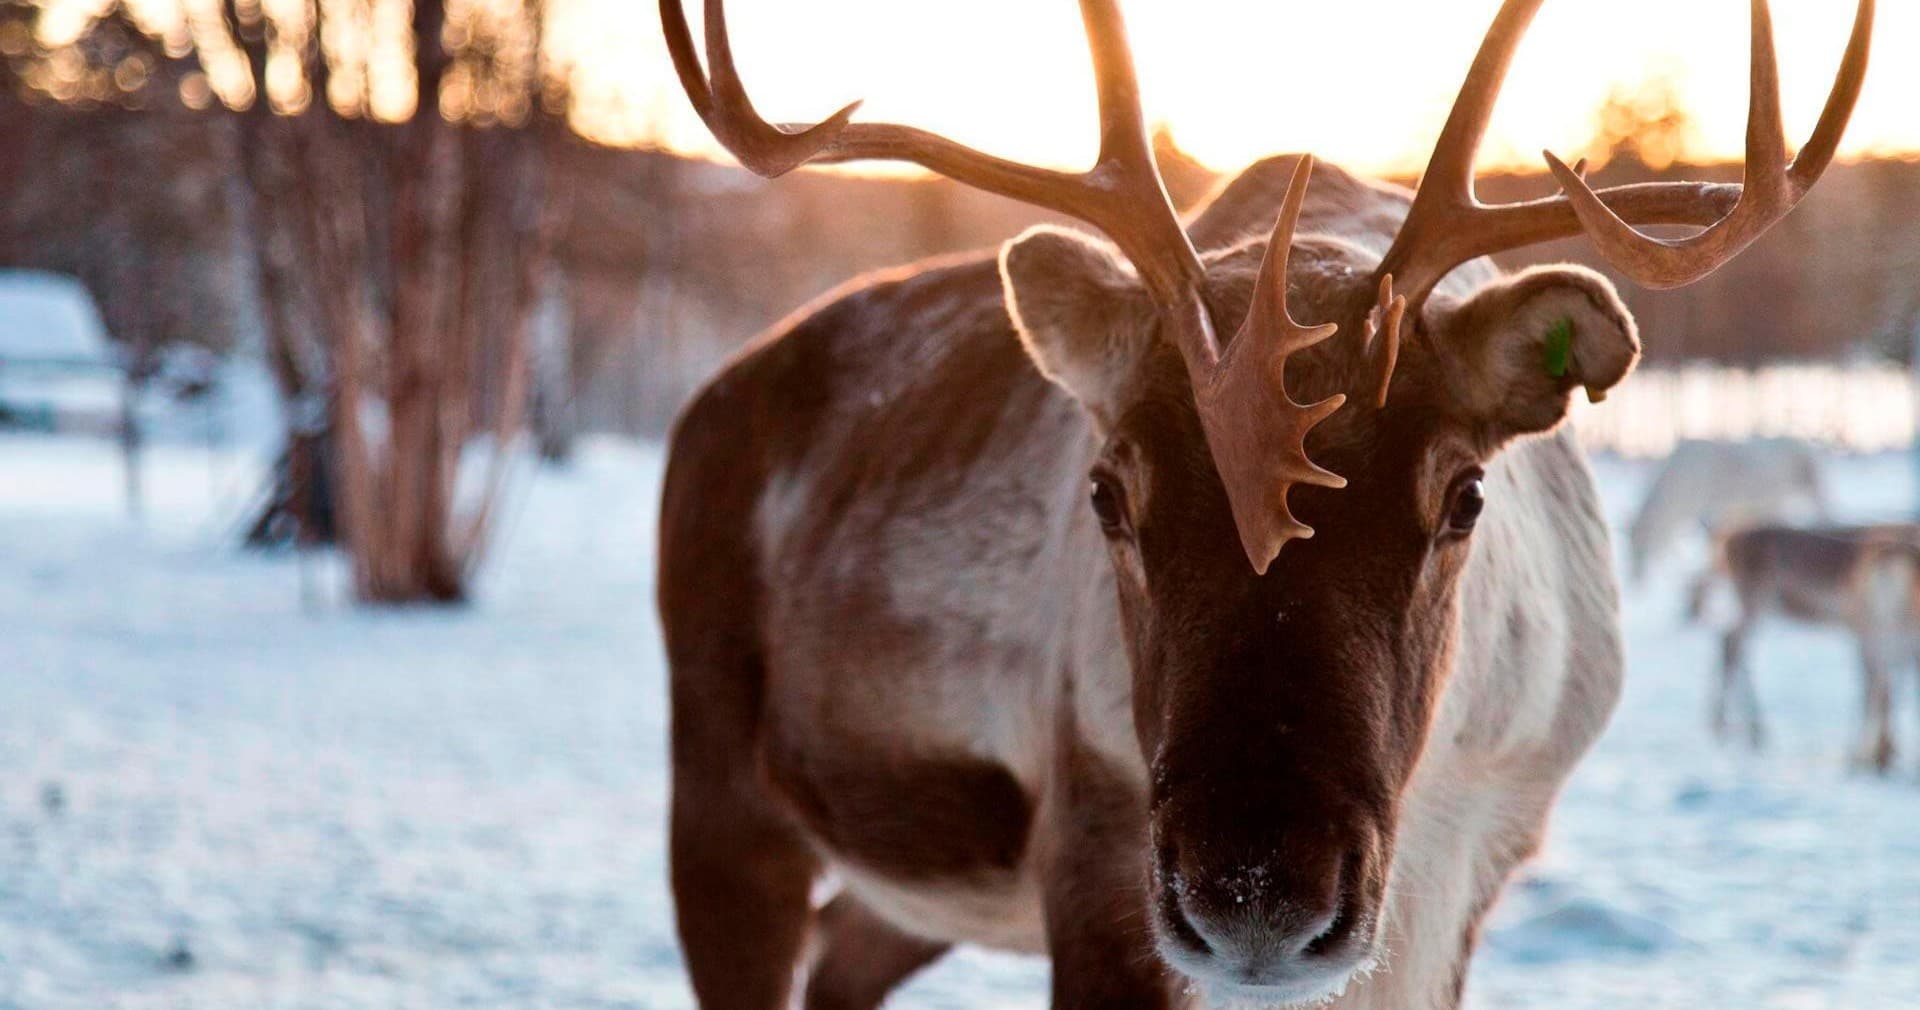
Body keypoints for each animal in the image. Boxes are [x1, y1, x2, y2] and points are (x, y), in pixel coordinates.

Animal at [654, 1, 1872, 1007]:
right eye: (1106, 489)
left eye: (1466, 493)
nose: (1255, 894)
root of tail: (716, 396)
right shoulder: (1095, 859)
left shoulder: (1464, 879)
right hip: (722, 793)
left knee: (840, 961)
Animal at [1695, 522, 1920, 771]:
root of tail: (1722, 540)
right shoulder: (1867, 632)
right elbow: (1876, 690)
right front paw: (1869, 755)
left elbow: (1882, 690)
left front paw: (1880, 752)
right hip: (1756, 599)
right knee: (1732, 645)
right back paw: (1742, 728)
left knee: (1730, 644)